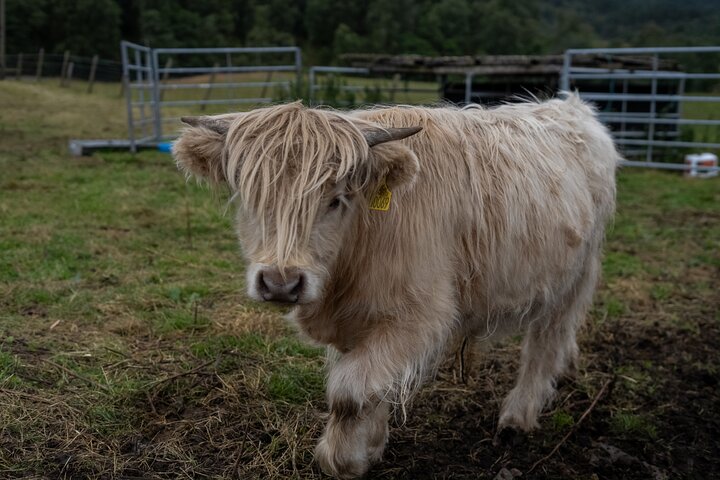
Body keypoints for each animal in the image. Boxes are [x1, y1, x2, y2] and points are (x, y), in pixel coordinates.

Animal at [172, 93, 618, 479]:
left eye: (336, 199)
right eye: (250, 197)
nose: (281, 283)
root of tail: (570, 106)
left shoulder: (421, 315)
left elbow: (348, 391)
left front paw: (343, 459)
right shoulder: (360, 319)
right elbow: (371, 383)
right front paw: (371, 444)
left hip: (574, 277)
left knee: (546, 344)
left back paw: (517, 417)